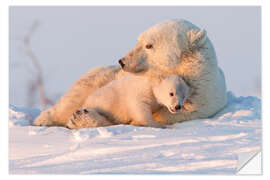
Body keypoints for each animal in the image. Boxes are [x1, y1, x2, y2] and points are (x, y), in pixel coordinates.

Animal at [34, 19, 228, 127]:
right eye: (139, 40)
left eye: (149, 45)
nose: (122, 61)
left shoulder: (197, 104)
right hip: (101, 76)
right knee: (75, 95)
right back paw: (45, 119)